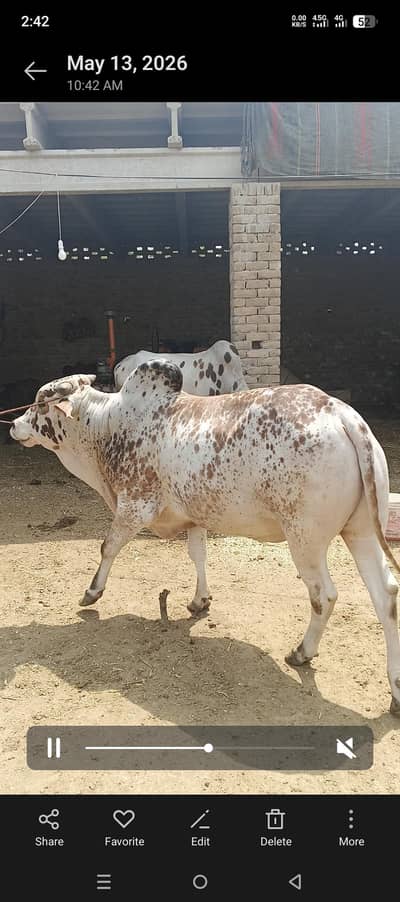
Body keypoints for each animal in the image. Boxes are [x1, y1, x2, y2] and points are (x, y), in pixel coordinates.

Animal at [10, 365, 400, 716]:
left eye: (41, 402)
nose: (13, 425)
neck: (108, 424)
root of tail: (340, 412)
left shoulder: (134, 506)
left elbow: (108, 547)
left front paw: (92, 592)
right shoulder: (195, 517)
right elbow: (198, 556)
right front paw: (200, 600)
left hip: (305, 539)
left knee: (324, 595)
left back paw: (302, 652)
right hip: (362, 532)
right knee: (386, 596)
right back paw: (395, 691)